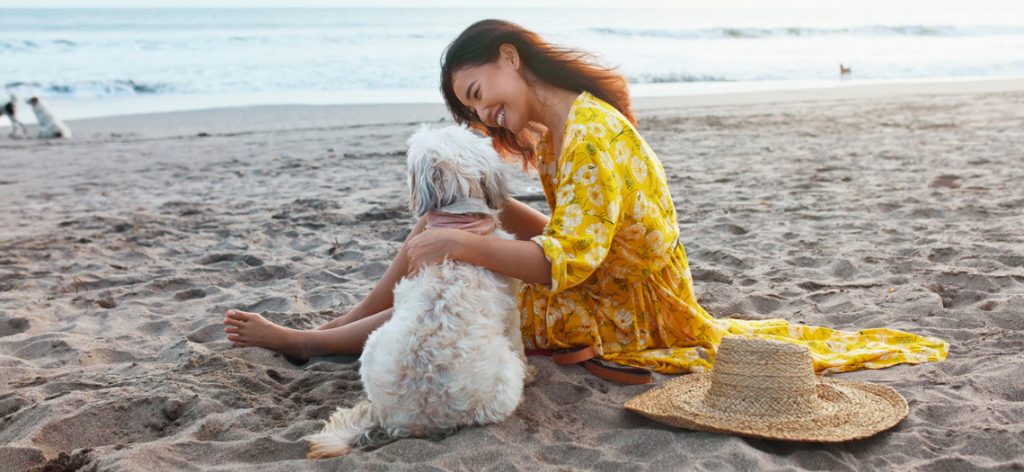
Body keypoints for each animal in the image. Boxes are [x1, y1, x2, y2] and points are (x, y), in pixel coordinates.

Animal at [303, 124, 532, 456]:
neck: (458, 220)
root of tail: (420, 417)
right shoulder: (510, 309)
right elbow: (516, 339)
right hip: (504, 383)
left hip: (372, 345)